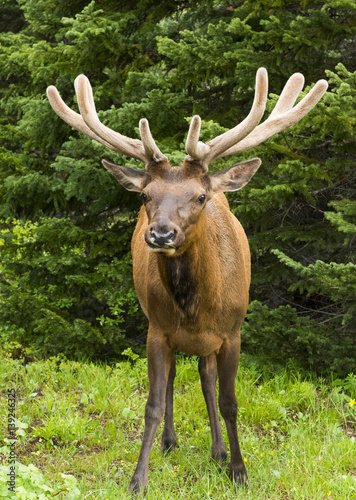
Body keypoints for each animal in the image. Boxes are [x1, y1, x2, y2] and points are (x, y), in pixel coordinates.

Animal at [47, 68, 328, 494]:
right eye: (145, 195)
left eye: (199, 197)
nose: (161, 234)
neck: (196, 307)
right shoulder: (157, 331)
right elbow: (153, 403)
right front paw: (138, 479)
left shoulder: (232, 332)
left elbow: (229, 401)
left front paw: (239, 471)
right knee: (175, 378)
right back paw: (171, 441)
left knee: (206, 379)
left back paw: (218, 451)